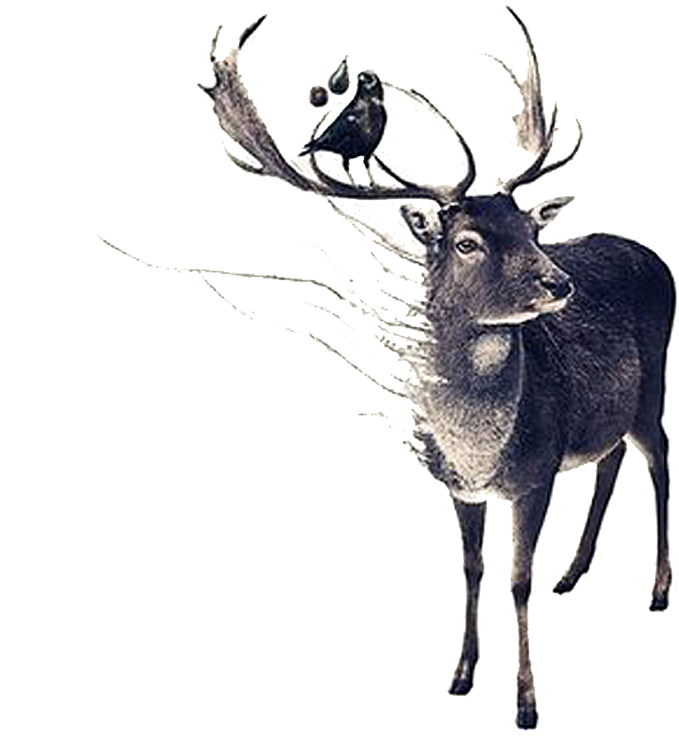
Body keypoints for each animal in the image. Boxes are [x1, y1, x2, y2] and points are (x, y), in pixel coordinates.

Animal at [195, 5, 674, 730]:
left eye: (533, 231)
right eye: (469, 242)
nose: (557, 283)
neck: (478, 442)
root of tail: (655, 258)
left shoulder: (535, 472)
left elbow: (516, 581)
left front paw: (525, 703)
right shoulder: (458, 485)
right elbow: (472, 572)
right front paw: (460, 676)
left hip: (654, 387)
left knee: (660, 458)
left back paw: (658, 589)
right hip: (605, 409)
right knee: (611, 454)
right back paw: (572, 575)